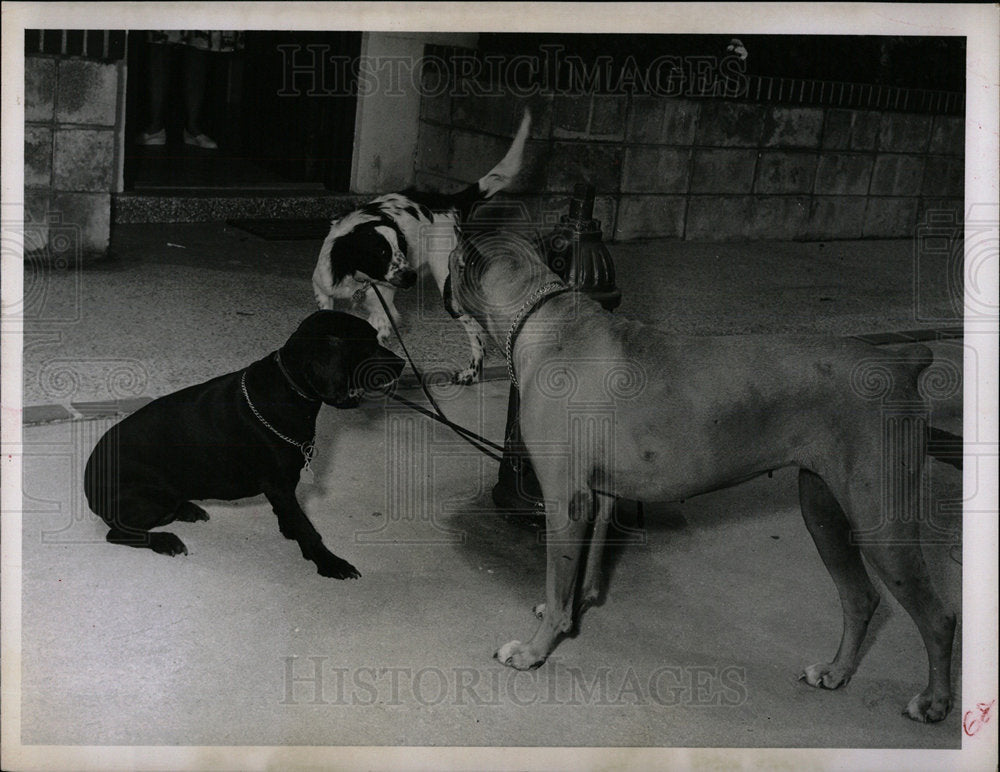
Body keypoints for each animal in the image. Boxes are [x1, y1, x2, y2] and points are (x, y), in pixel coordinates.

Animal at [82, 310, 402, 576]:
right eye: (368, 343)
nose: (402, 364)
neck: (288, 391)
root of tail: (89, 490)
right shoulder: (278, 485)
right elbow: (307, 528)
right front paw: (330, 563)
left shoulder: (285, 487)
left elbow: (293, 517)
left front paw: (290, 530)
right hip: (150, 497)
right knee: (118, 533)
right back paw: (165, 540)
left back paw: (187, 510)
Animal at [312, 108, 532, 386]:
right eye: (380, 253)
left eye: (401, 248)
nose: (411, 277)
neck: (356, 278)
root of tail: (448, 202)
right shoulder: (323, 289)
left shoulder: (383, 309)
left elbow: (377, 333)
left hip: (450, 289)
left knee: (477, 331)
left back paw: (472, 372)